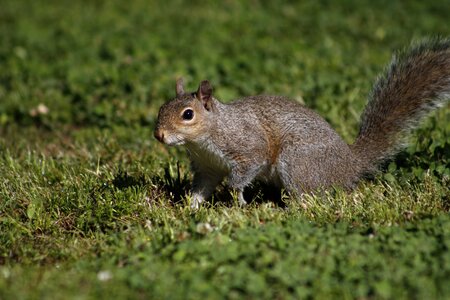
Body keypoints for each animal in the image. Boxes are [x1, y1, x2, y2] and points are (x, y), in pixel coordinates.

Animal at [153, 38, 448, 209]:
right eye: (161, 108)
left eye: (188, 114)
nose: (159, 135)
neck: (206, 137)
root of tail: (349, 164)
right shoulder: (208, 167)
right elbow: (202, 187)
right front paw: (191, 208)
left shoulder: (247, 148)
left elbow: (245, 171)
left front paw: (237, 201)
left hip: (297, 163)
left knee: (309, 197)